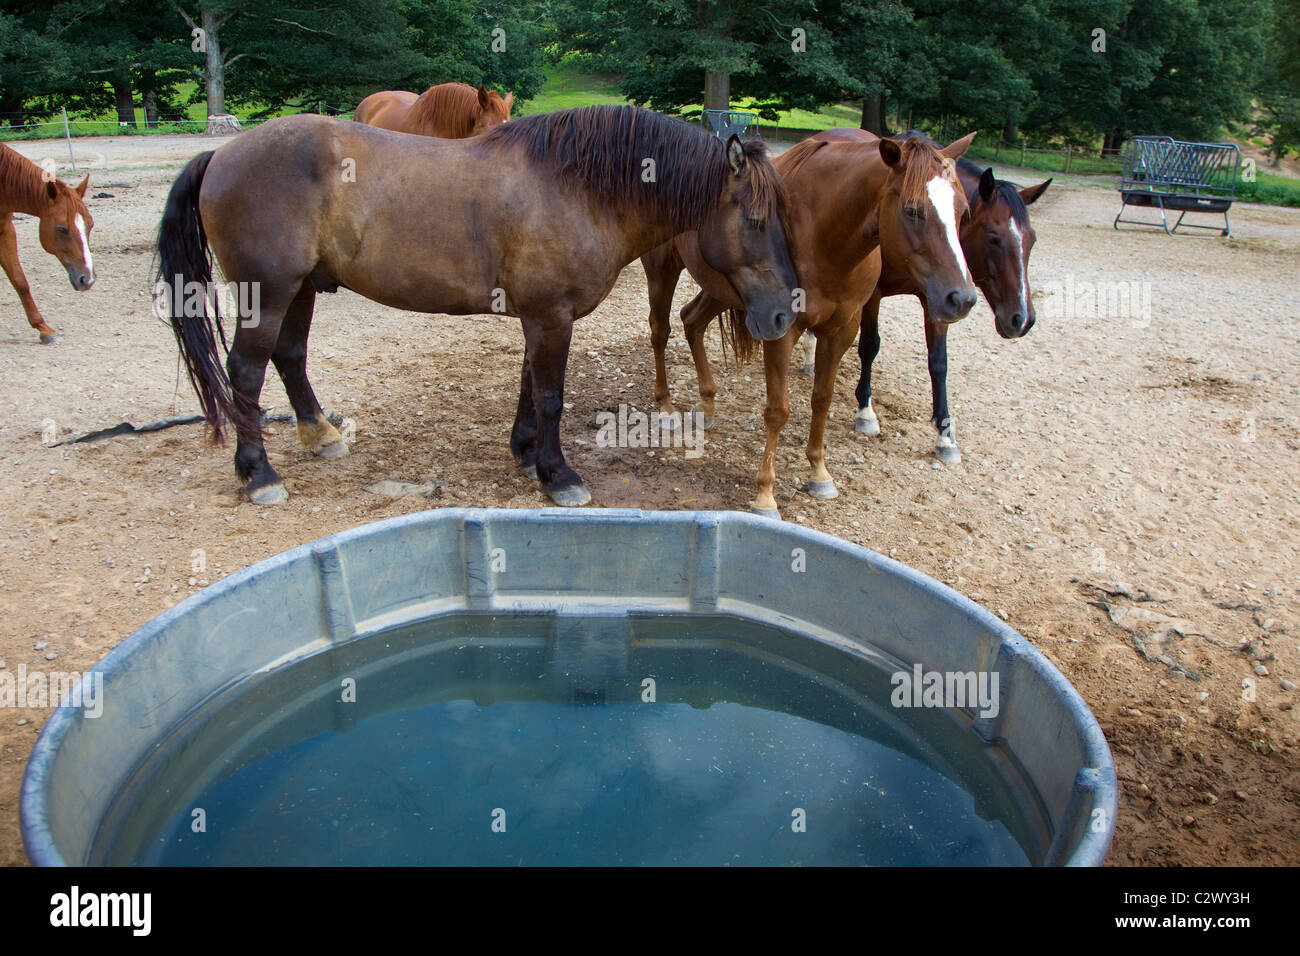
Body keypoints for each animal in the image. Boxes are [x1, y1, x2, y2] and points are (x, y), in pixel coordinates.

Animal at [0, 143, 95, 345]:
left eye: (91, 224)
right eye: (61, 228)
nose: (87, 279)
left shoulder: (5, 229)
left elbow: (19, 280)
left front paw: (44, 329)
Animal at [157, 104, 795, 504]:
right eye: (754, 220)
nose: (785, 314)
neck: (579, 188)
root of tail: (220, 154)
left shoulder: (541, 318)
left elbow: (529, 387)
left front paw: (527, 452)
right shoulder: (551, 317)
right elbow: (551, 395)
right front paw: (558, 475)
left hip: (299, 290)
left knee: (289, 358)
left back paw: (321, 437)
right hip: (265, 293)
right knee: (246, 372)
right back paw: (259, 474)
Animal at [639, 132, 977, 515]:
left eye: (963, 211)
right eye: (912, 210)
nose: (962, 298)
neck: (825, 235)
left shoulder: (841, 330)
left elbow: (822, 399)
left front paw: (819, 472)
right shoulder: (781, 330)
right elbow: (777, 410)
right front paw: (765, 493)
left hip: (721, 289)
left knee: (692, 321)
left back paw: (708, 403)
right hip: (662, 269)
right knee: (660, 331)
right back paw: (665, 406)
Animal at [811, 128, 1055, 465]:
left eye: (1032, 240)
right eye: (994, 238)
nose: (1022, 319)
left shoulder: (941, 298)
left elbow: (939, 363)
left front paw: (945, 435)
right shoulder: (873, 295)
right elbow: (869, 346)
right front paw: (865, 411)